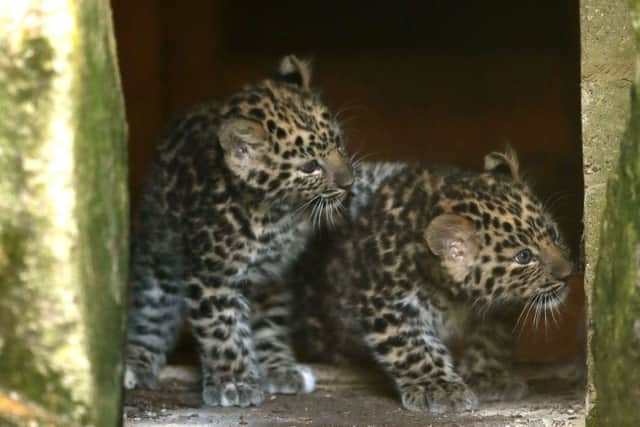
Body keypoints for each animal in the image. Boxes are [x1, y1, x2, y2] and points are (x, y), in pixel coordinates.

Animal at [124, 55, 354, 408]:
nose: (348, 183)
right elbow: (222, 328)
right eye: (309, 167)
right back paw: (136, 362)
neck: (278, 216)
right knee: (152, 308)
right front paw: (234, 383)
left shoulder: (271, 276)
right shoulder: (213, 276)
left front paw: (280, 369)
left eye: (338, 144)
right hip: (159, 247)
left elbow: (270, 324)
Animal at [293, 147, 573, 413]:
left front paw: (488, 377)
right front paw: (440, 388)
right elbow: (412, 348)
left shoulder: (495, 308)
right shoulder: (381, 300)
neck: (457, 297)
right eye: (524, 256)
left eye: (553, 234)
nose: (568, 273)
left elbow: (490, 339)